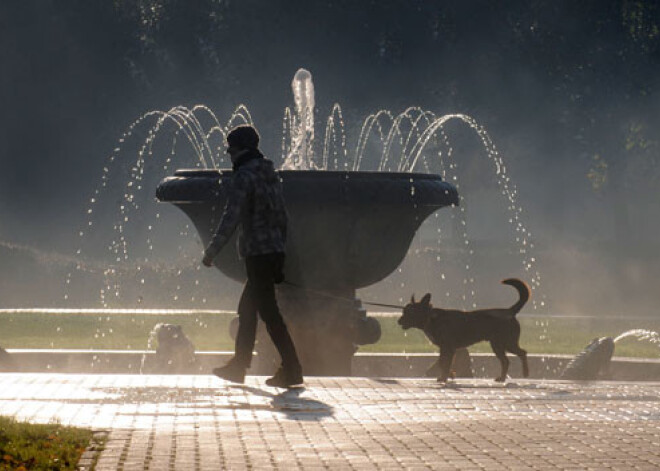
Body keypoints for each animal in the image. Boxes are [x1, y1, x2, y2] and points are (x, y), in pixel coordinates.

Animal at [398, 280, 532, 384]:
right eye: (404, 311)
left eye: (409, 313)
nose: (398, 321)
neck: (431, 317)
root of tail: (510, 311)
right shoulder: (444, 349)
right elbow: (442, 363)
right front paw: (447, 375)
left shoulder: (449, 348)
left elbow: (445, 364)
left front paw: (445, 377)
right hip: (497, 345)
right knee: (506, 361)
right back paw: (502, 378)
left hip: (507, 343)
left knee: (522, 353)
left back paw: (525, 372)